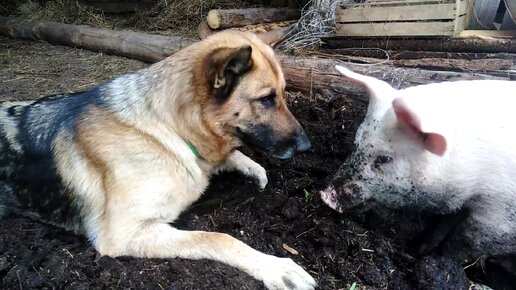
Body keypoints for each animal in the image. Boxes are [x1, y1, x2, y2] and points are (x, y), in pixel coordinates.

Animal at [0, 29, 314, 288]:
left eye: (282, 94)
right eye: (266, 99)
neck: (168, 130)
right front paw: (274, 267)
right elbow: (219, 237)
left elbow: (230, 157)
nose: (307, 147)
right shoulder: (124, 235)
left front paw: (251, 167)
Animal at [320, 65, 516, 260]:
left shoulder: (499, 211)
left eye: (384, 158)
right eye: (356, 142)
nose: (325, 195)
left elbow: (471, 238)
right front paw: (421, 248)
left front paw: (434, 256)